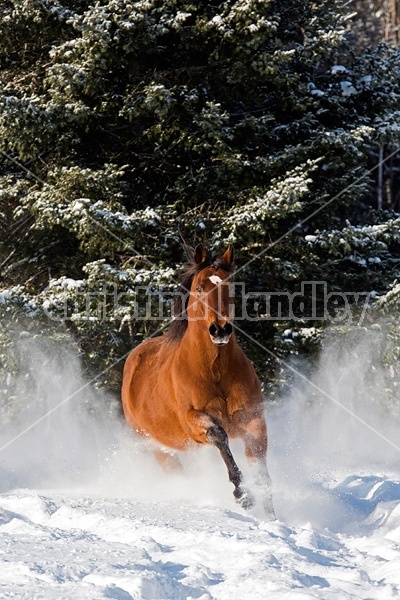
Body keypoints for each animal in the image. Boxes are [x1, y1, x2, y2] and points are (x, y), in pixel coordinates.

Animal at [122, 243, 276, 516]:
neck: (214, 371)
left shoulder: (254, 420)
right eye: (200, 288)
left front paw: (271, 517)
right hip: (159, 448)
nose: (220, 330)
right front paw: (242, 494)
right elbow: (219, 435)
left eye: (231, 286)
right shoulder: (192, 421)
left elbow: (261, 470)